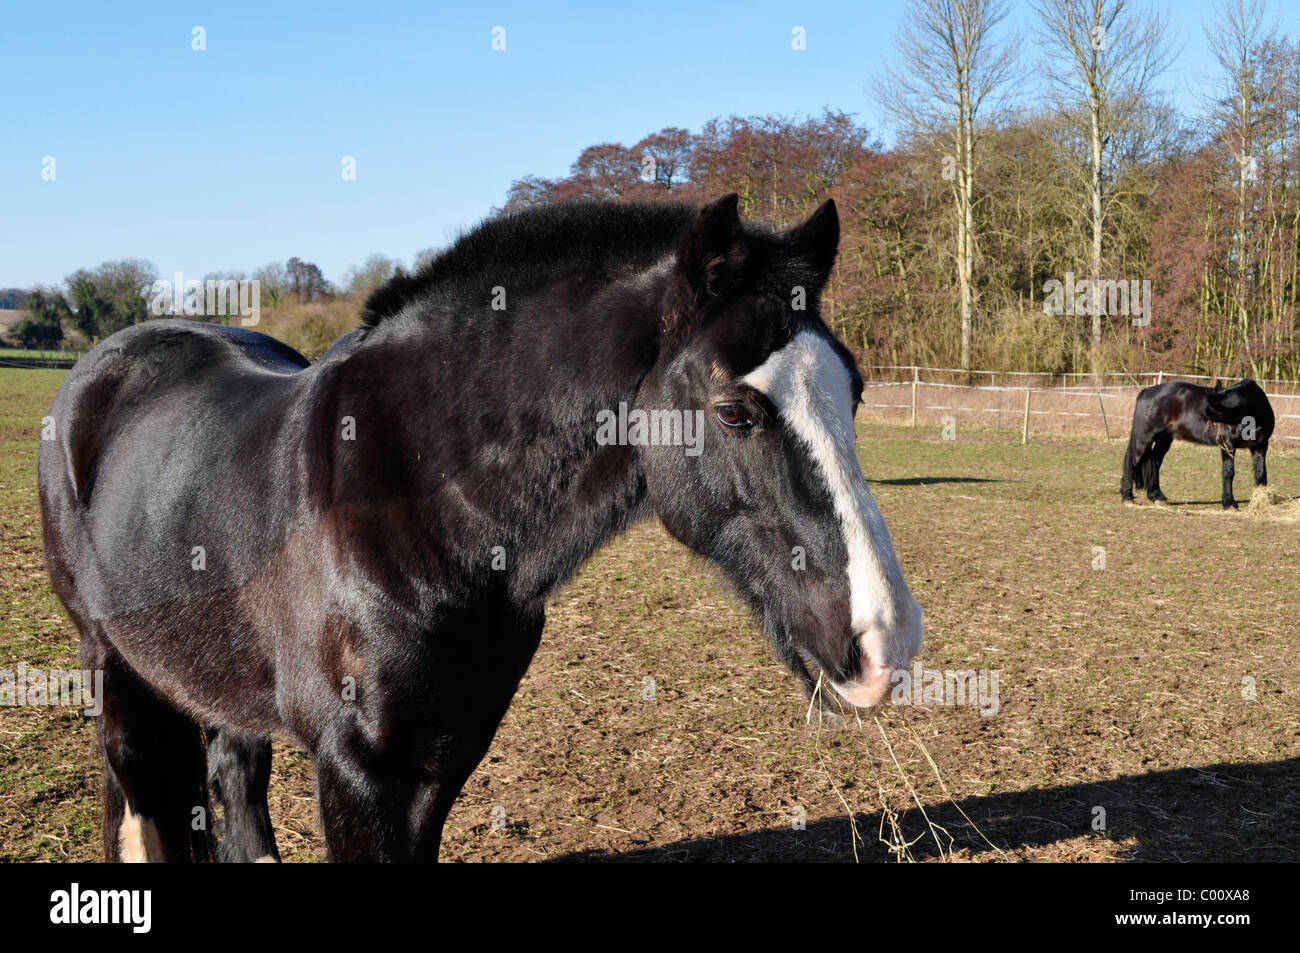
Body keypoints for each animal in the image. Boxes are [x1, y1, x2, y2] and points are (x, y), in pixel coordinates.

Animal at [32, 193, 925, 863]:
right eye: (736, 410)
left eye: (856, 390)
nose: (886, 640)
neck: (420, 511)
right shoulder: (355, 772)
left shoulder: (440, 761)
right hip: (113, 668)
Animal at [1123, 379, 1274, 509]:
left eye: (1215, 408)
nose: (1203, 417)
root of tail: (1146, 392)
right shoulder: (1227, 445)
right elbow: (1228, 472)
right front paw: (1229, 503)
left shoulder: (1260, 446)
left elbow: (1261, 473)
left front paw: (1262, 500)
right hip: (1144, 440)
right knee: (1131, 461)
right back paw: (1127, 497)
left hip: (1164, 439)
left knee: (1155, 462)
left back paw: (1157, 496)